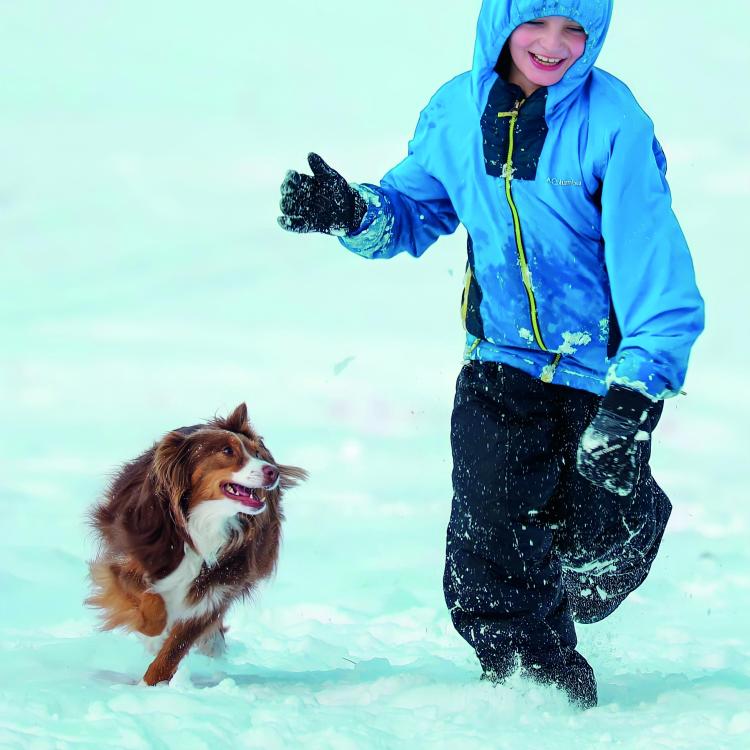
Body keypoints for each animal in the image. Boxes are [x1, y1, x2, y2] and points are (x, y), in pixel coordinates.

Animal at [88, 406, 308, 688]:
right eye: (227, 451)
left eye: (257, 453)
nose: (273, 472)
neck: (203, 521)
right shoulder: (130, 554)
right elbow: (149, 603)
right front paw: (153, 635)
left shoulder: (216, 587)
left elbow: (176, 646)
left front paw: (151, 685)